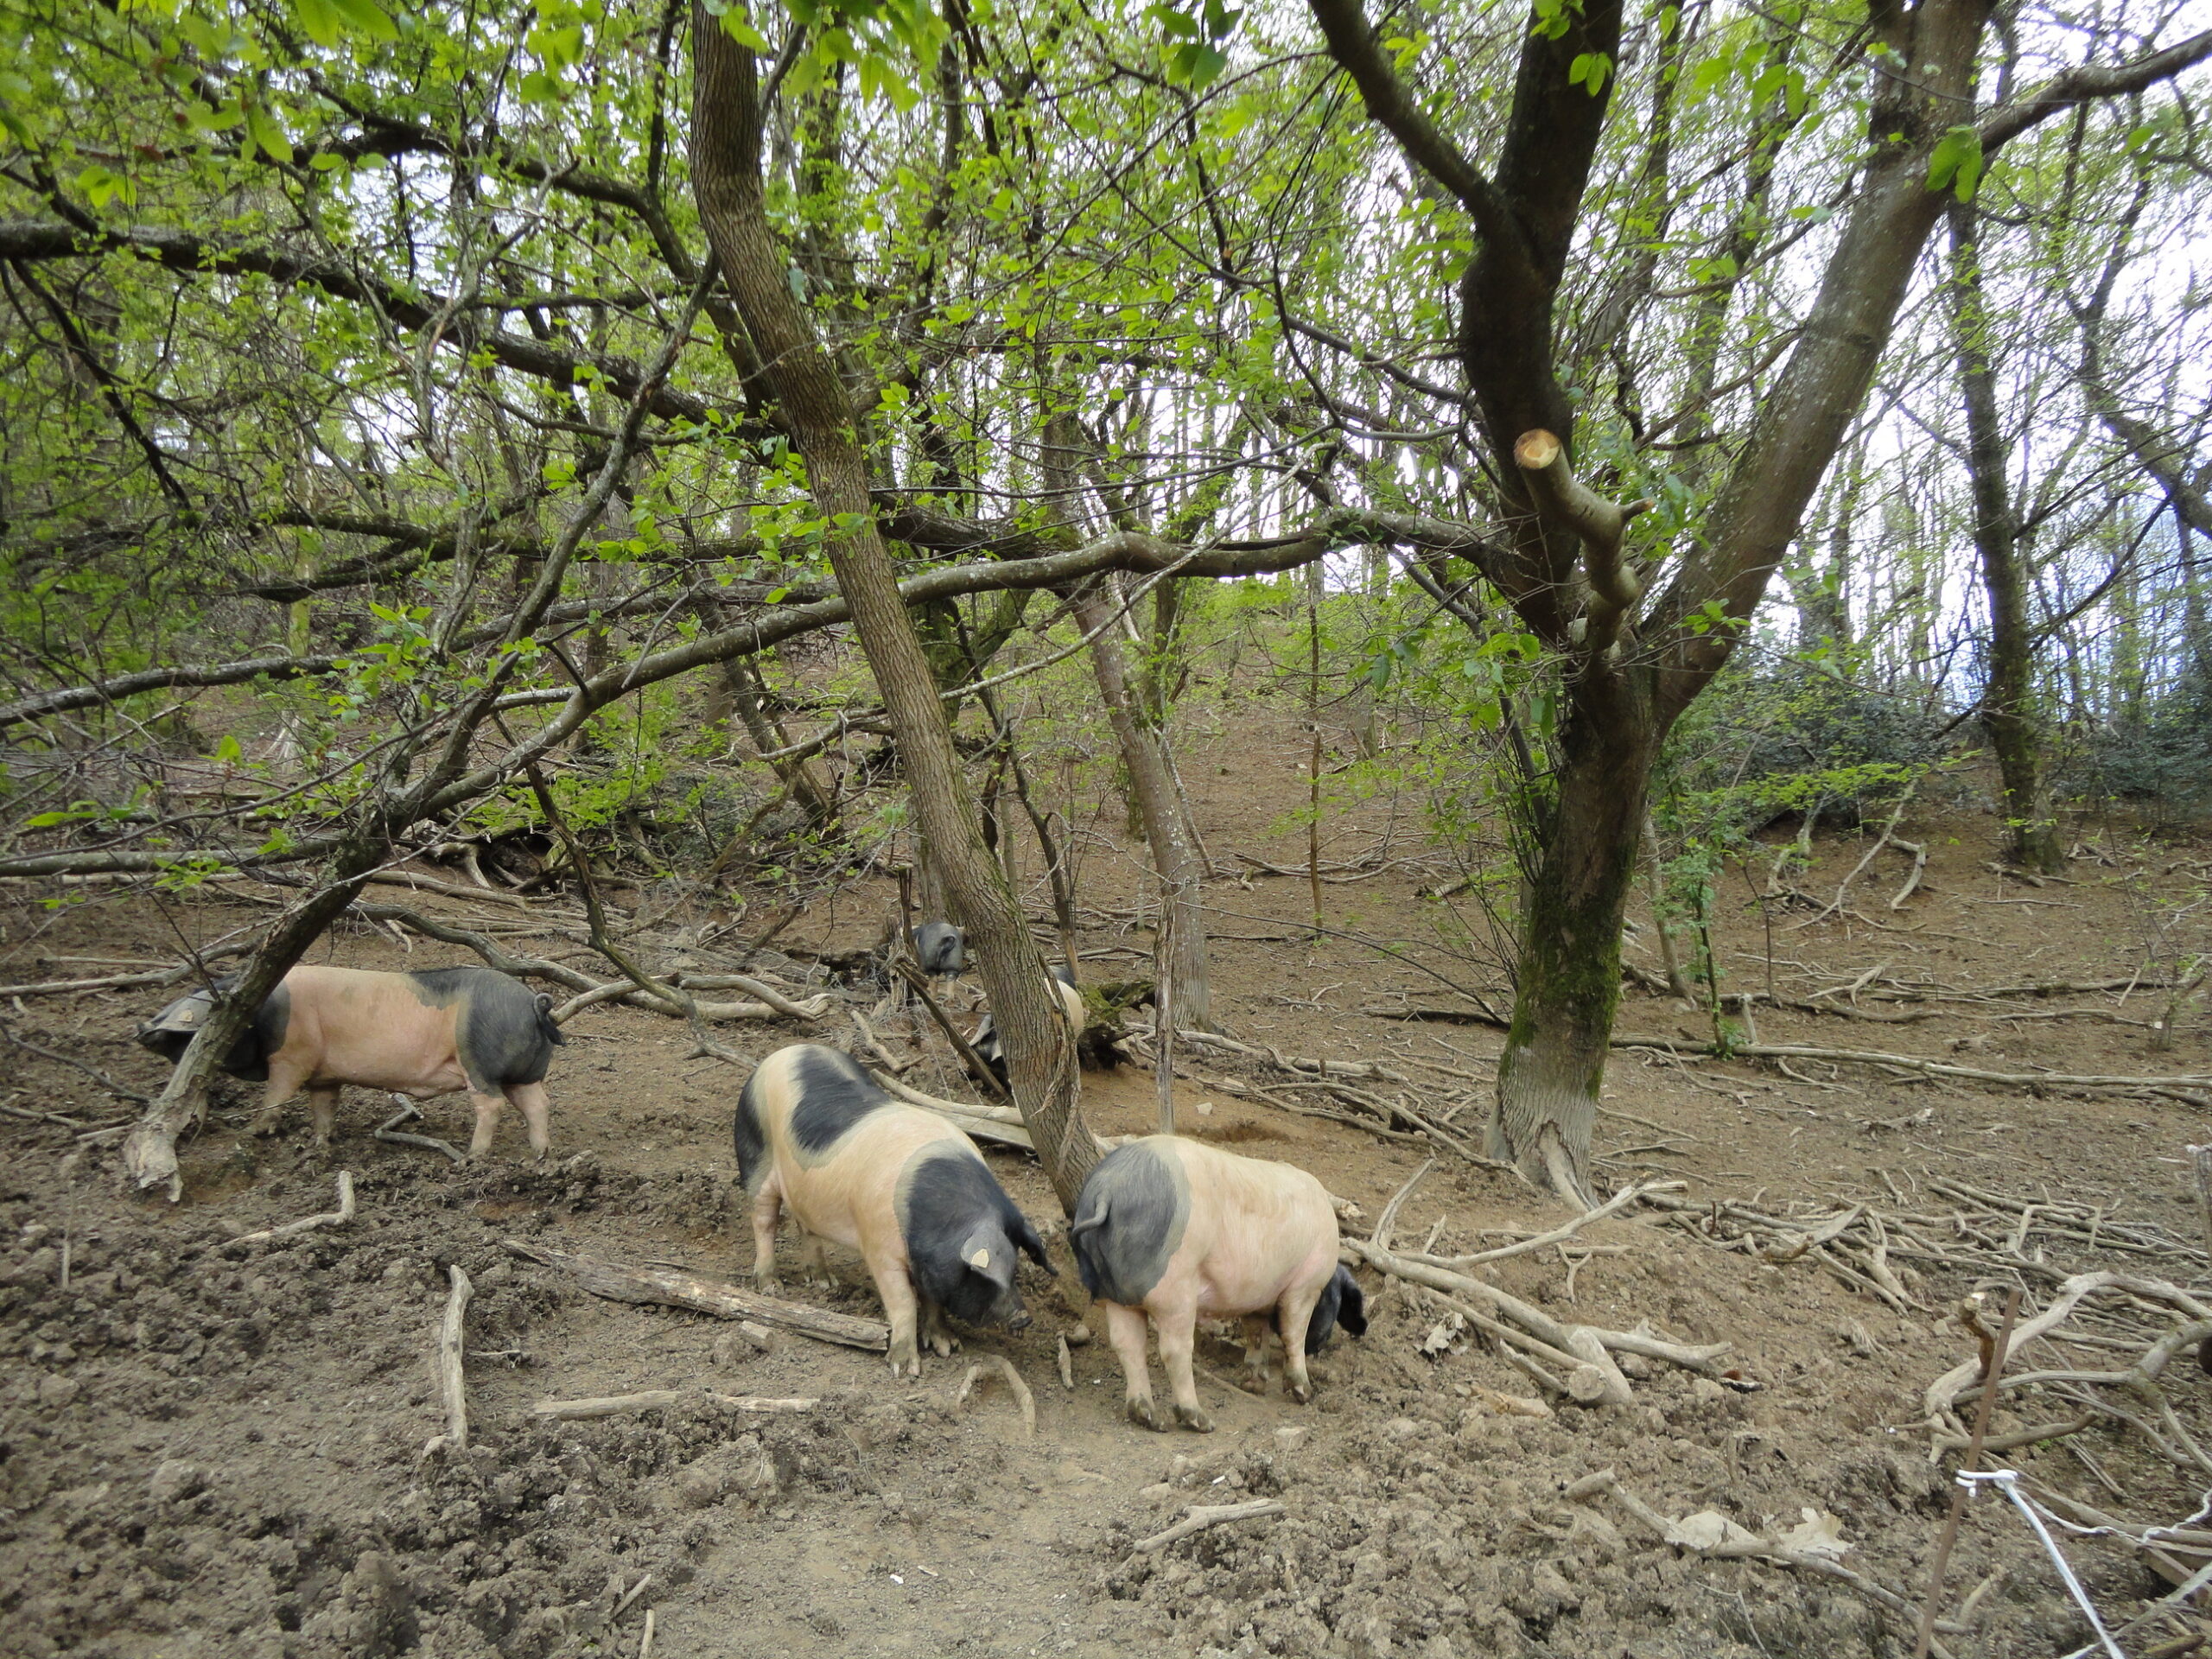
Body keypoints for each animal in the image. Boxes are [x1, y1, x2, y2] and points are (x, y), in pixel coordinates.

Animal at [136, 969, 562, 1159]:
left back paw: (473, 1158)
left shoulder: (292, 1056)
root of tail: (533, 1002)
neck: (266, 1016)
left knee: (491, 1105)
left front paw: (254, 1132)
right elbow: (324, 1107)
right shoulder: (324, 1077)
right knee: (537, 1104)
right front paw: (321, 1145)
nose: (143, 1029)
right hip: (521, 1074)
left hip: (479, 1062)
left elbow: (276, 1093)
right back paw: (539, 1156)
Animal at [734, 1044, 1052, 1380]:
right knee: (763, 1220)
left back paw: (824, 1283)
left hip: (805, 1194)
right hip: (755, 1153)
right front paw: (904, 1369)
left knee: (805, 1227)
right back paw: (771, 1286)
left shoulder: (927, 1261)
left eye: (1015, 1269)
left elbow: (932, 1300)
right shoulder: (879, 1248)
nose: (1022, 1317)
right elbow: (903, 1302)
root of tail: (782, 1052)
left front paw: (949, 1347)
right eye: (984, 1277)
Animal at [1071, 1141, 1362, 1433]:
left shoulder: (1256, 1298)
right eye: (1334, 1304)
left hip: (1115, 1296)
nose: (1323, 1343)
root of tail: (1107, 1191)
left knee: (1127, 1346)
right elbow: (1293, 1333)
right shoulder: (1304, 1288)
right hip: (1176, 1291)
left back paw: (1150, 1418)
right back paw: (1201, 1421)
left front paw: (1252, 1386)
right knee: (1175, 1351)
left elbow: (1256, 1333)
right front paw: (1304, 1394)